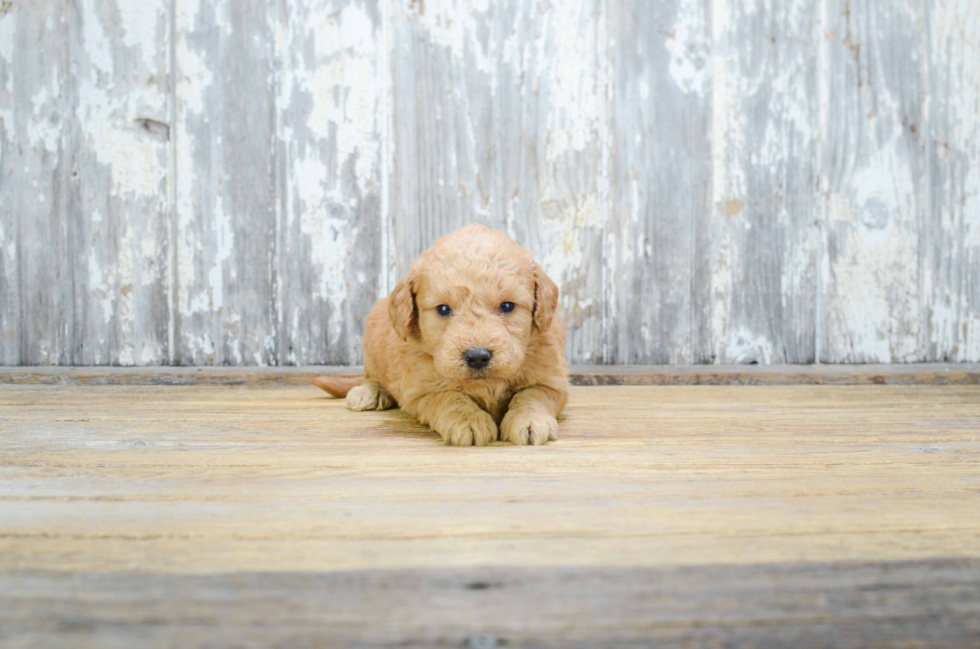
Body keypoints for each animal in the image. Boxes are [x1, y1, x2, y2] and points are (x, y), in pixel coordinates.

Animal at [316, 224, 568, 446]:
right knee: (372, 376)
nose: (477, 357)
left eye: (507, 306)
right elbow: (449, 398)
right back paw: (369, 392)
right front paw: (468, 422)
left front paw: (529, 420)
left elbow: (531, 396)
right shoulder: (423, 391)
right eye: (444, 309)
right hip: (372, 341)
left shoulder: (551, 381)